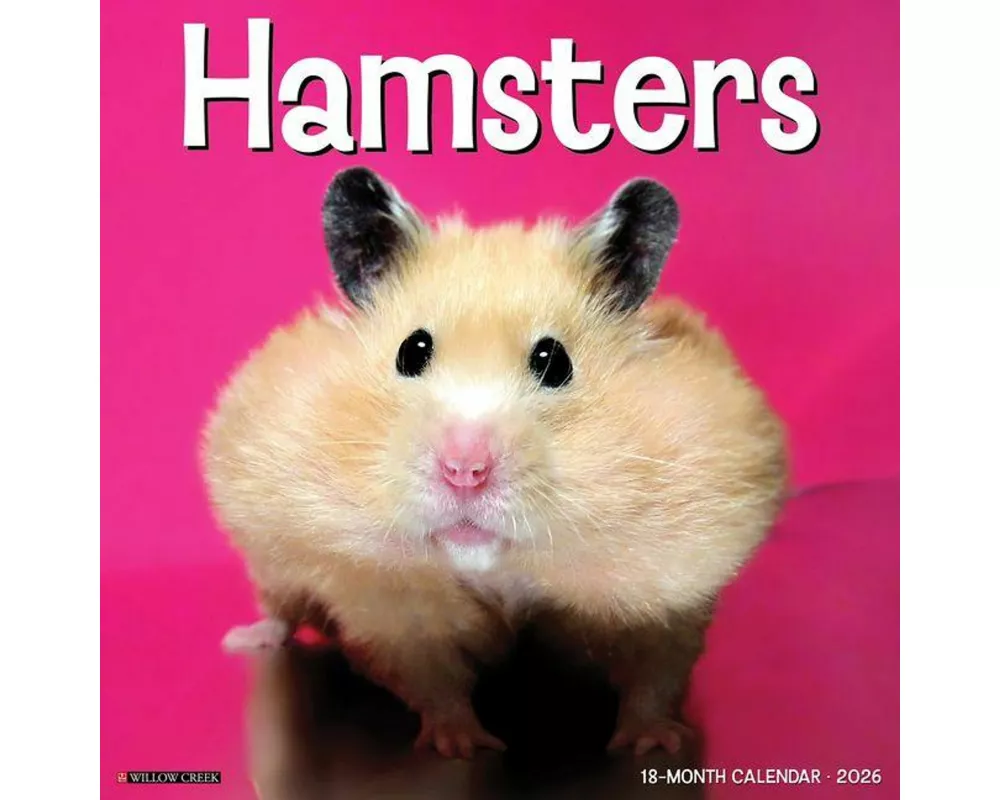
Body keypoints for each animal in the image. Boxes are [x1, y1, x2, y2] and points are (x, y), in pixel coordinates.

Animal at [201, 167, 787, 760]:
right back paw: (244, 640)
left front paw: (655, 744)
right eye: (411, 351)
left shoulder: (666, 597)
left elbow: (655, 675)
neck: (499, 566)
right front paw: (463, 746)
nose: (465, 470)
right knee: (281, 607)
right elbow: (431, 679)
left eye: (554, 362)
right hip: (272, 562)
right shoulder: (396, 610)